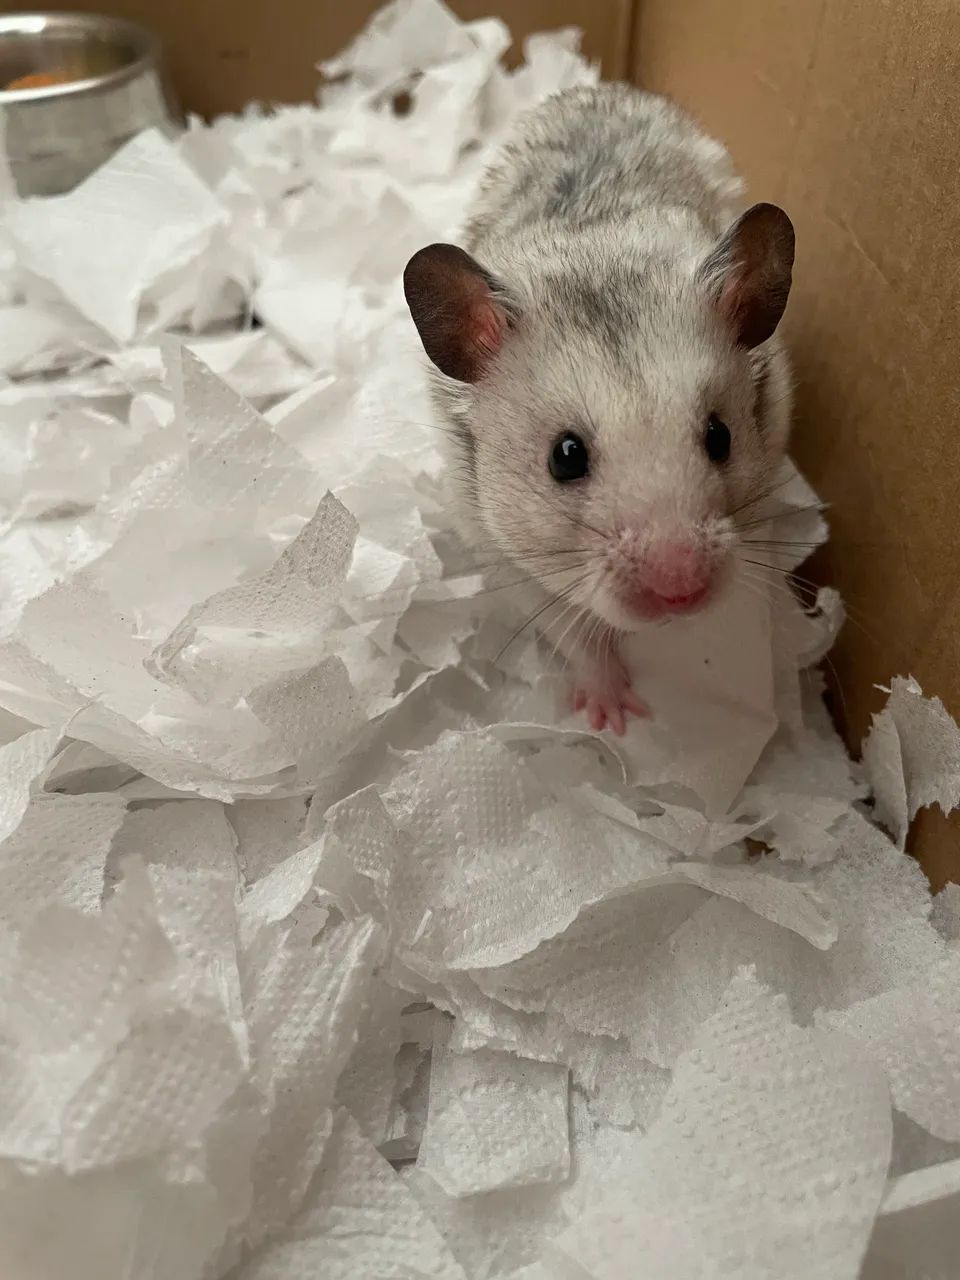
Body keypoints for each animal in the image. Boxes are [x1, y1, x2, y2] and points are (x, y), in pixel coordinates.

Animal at [403, 85, 795, 735]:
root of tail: (605, 87)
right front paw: (614, 718)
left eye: (721, 436)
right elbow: (581, 638)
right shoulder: (516, 567)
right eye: (564, 458)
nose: (681, 594)